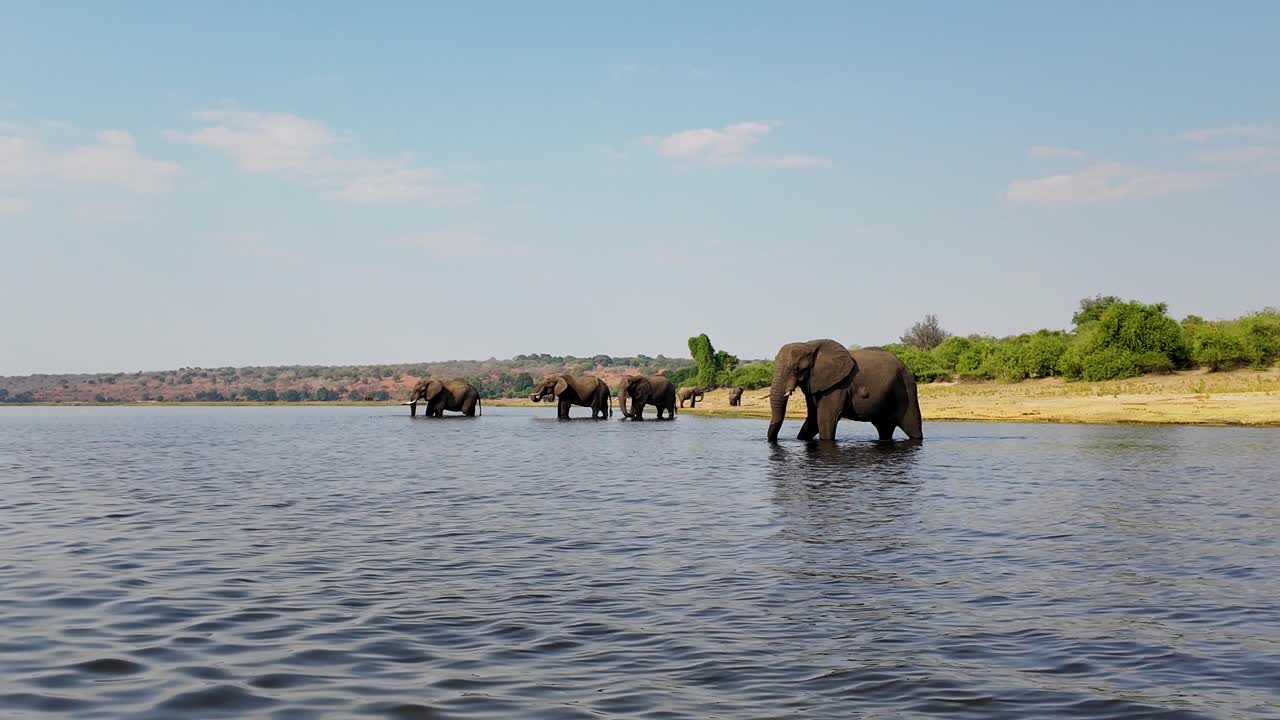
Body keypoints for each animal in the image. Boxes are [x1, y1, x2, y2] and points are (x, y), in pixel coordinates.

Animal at [765, 339, 922, 443]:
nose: (773, 441)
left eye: (797, 369)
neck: (809, 344)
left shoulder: (838, 386)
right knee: (884, 430)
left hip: (906, 389)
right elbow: (813, 419)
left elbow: (825, 418)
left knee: (913, 428)